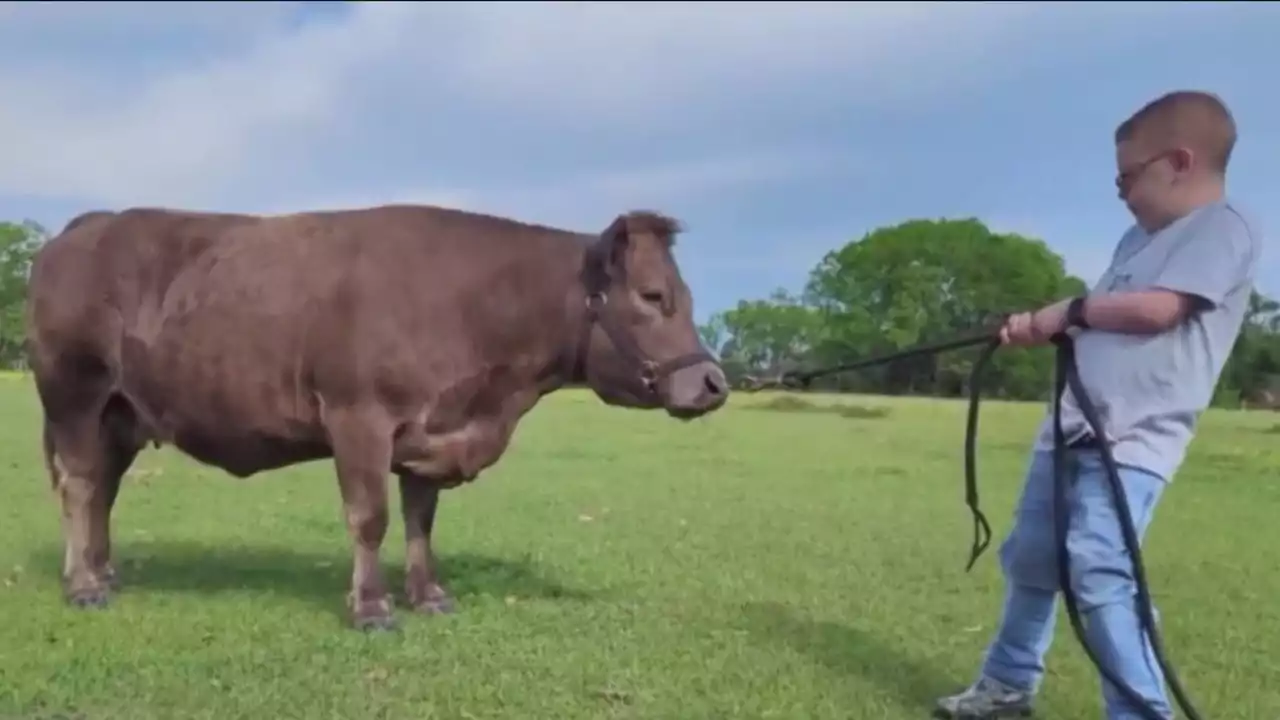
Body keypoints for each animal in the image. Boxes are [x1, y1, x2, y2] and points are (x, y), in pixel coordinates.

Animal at [22, 202, 732, 627]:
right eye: (653, 296)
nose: (713, 383)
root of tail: (86, 225)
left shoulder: (431, 433)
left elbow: (420, 521)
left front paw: (429, 595)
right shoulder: (357, 417)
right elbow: (370, 518)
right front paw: (371, 607)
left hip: (121, 415)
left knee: (102, 490)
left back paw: (105, 571)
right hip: (75, 396)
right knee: (79, 485)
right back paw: (82, 584)